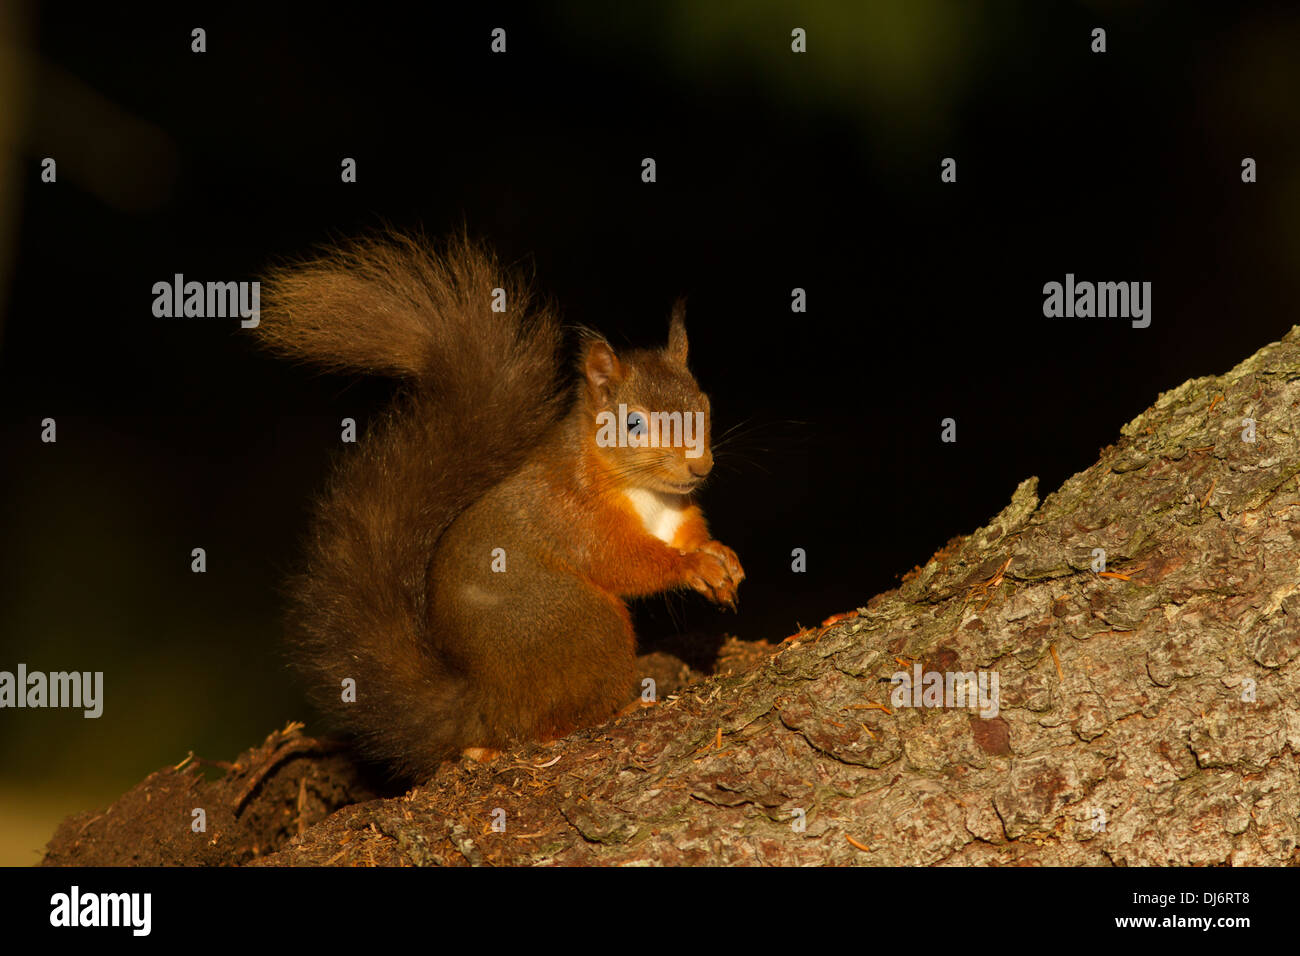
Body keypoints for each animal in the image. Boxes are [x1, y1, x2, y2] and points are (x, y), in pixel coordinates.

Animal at [256, 235, 743, 780]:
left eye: (704, 402)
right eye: (634, 423)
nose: (699, 466)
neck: (647, 492)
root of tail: (484, 706)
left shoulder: (674, 513)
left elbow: (686, 534)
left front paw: (720, 556)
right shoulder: (573, 514)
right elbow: (622, 562)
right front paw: (692, 567)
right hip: (579, 623)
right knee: (545, 725)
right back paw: (618, 709)